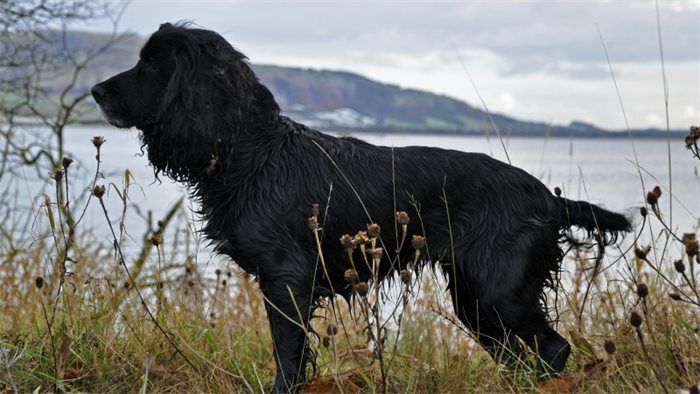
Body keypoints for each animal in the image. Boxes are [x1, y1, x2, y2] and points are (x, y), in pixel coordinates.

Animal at [90, 23, 632, 392]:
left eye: (153, 65)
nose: (94, 91)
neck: (253, 153)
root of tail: (544, 195)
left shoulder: (286, 280)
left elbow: (288, 356)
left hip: (499, 289)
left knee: (554, 348)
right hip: (476, 298)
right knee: (518, 355)